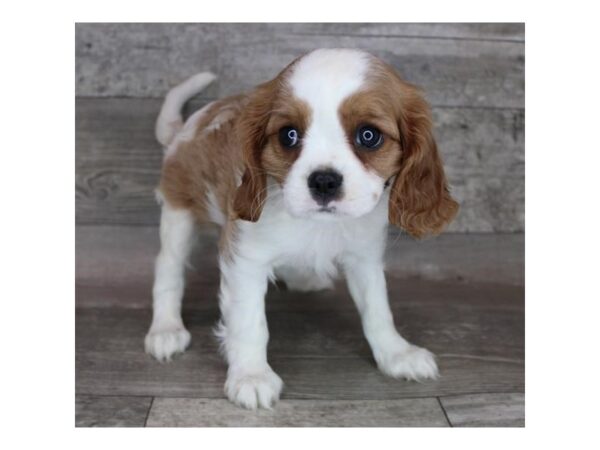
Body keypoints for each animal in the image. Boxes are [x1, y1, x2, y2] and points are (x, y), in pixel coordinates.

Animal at [145, 48, 460, 408]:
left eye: (369, 136)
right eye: (289, 135)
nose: (323, 181)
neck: (317, 226)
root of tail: (187, 128)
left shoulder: (364, 257)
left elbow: (378, 309)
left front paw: (396, 353)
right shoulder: (245, 260)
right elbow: (250, 323)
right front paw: (251, 375)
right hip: (179, 208)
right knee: (168, 268)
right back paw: (165, 329)